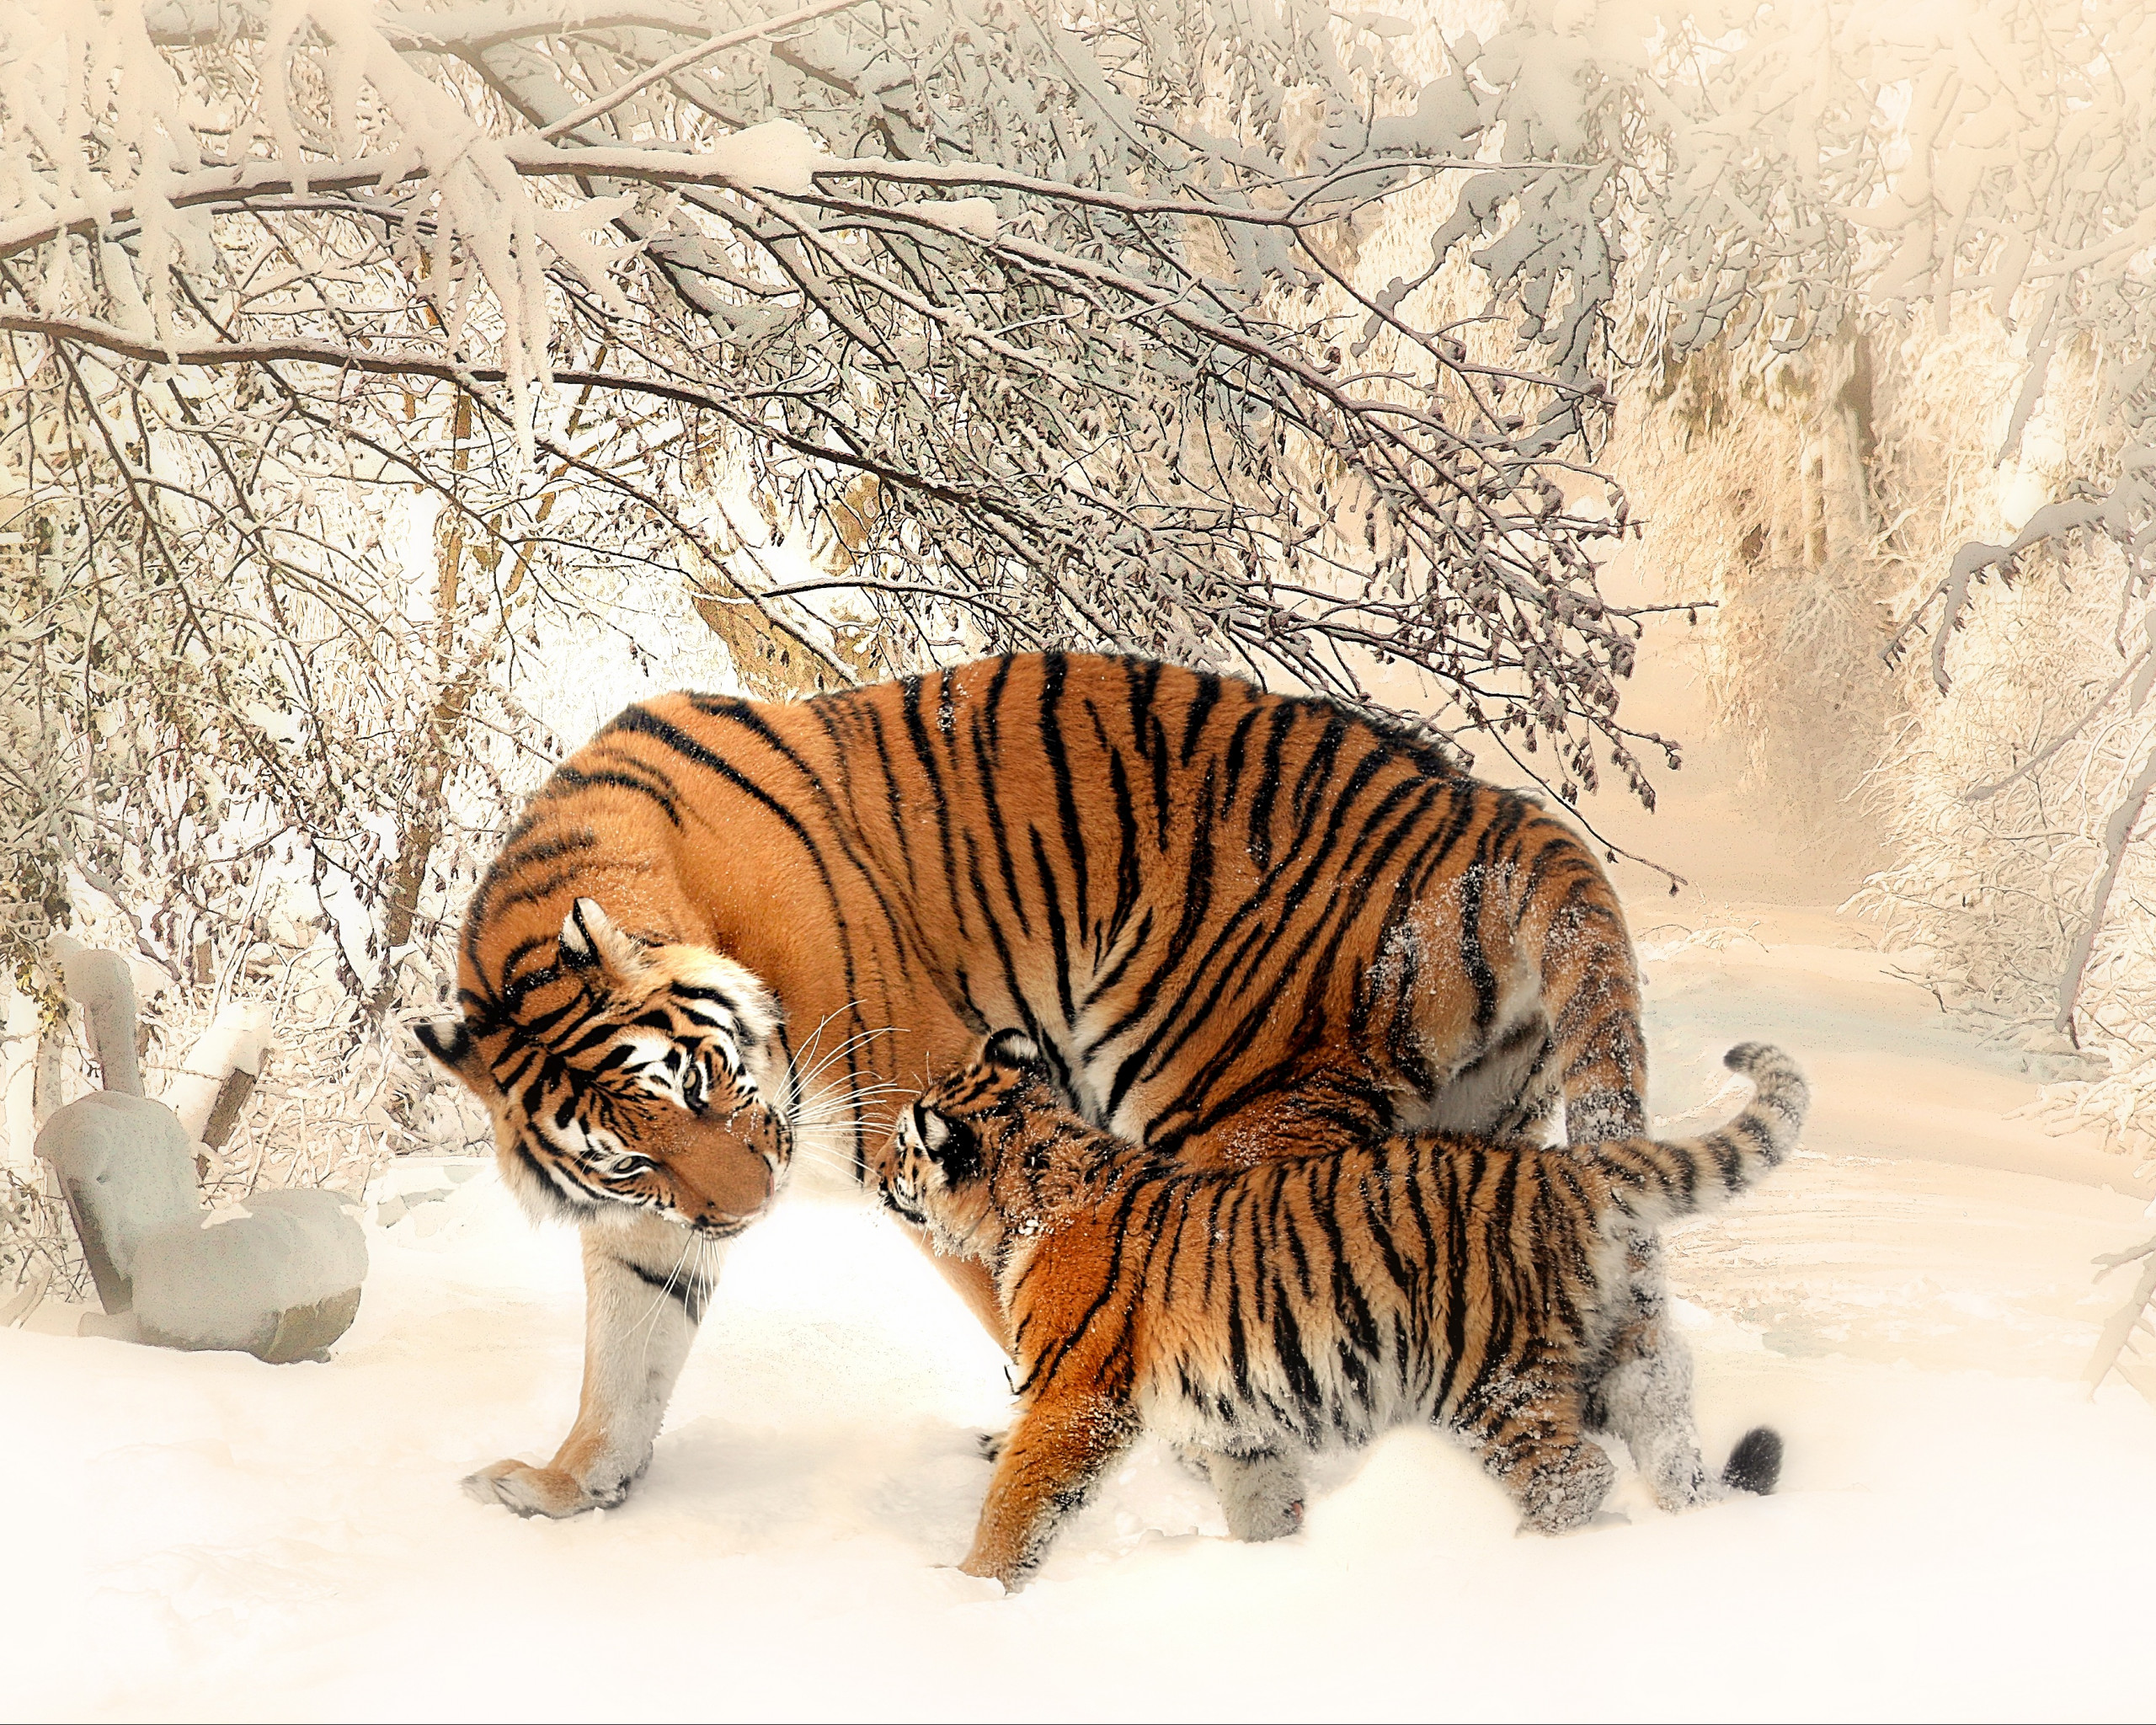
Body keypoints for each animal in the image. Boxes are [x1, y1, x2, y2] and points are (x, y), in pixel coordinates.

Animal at [414, 650, 1700, 1526]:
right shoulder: (651, 1223)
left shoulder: (929, 1112)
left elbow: (1036, 1305)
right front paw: (566, 1484)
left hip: (1234, 1113)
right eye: (632, 1154)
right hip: (1477, 1142)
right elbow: (625, 1353)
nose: (747, 1209)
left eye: (700, 1085)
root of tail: (1493, 812)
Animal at [878, 1030, 1805, 1589]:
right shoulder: (1238, 1422)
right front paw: (1277, 1568)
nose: (878, 1176)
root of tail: (1562, 1169)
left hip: (1490, 1377)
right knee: (1665, 1432)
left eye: (901, 1146)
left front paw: (968, 1592)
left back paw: (1523, 1561)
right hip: (1614, 1356)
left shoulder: (1073, 1399)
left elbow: (1017, 1503)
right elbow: (1260, 1501)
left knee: (1574, 1475)